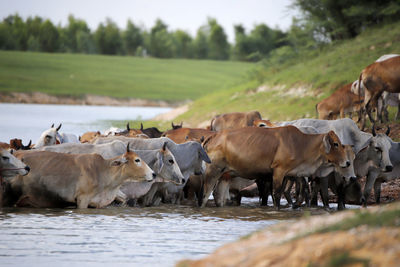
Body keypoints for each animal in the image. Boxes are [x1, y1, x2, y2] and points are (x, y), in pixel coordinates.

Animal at [200, 126, 356, 210]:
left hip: (224, 175)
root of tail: (213, 136)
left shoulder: (291, 174)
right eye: (335, 144)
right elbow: (276, 194)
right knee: (205, 194)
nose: (347, 163)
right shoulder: (279, 171)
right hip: (213, 172)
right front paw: (277, 209)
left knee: (218, 195)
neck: (301, 145)